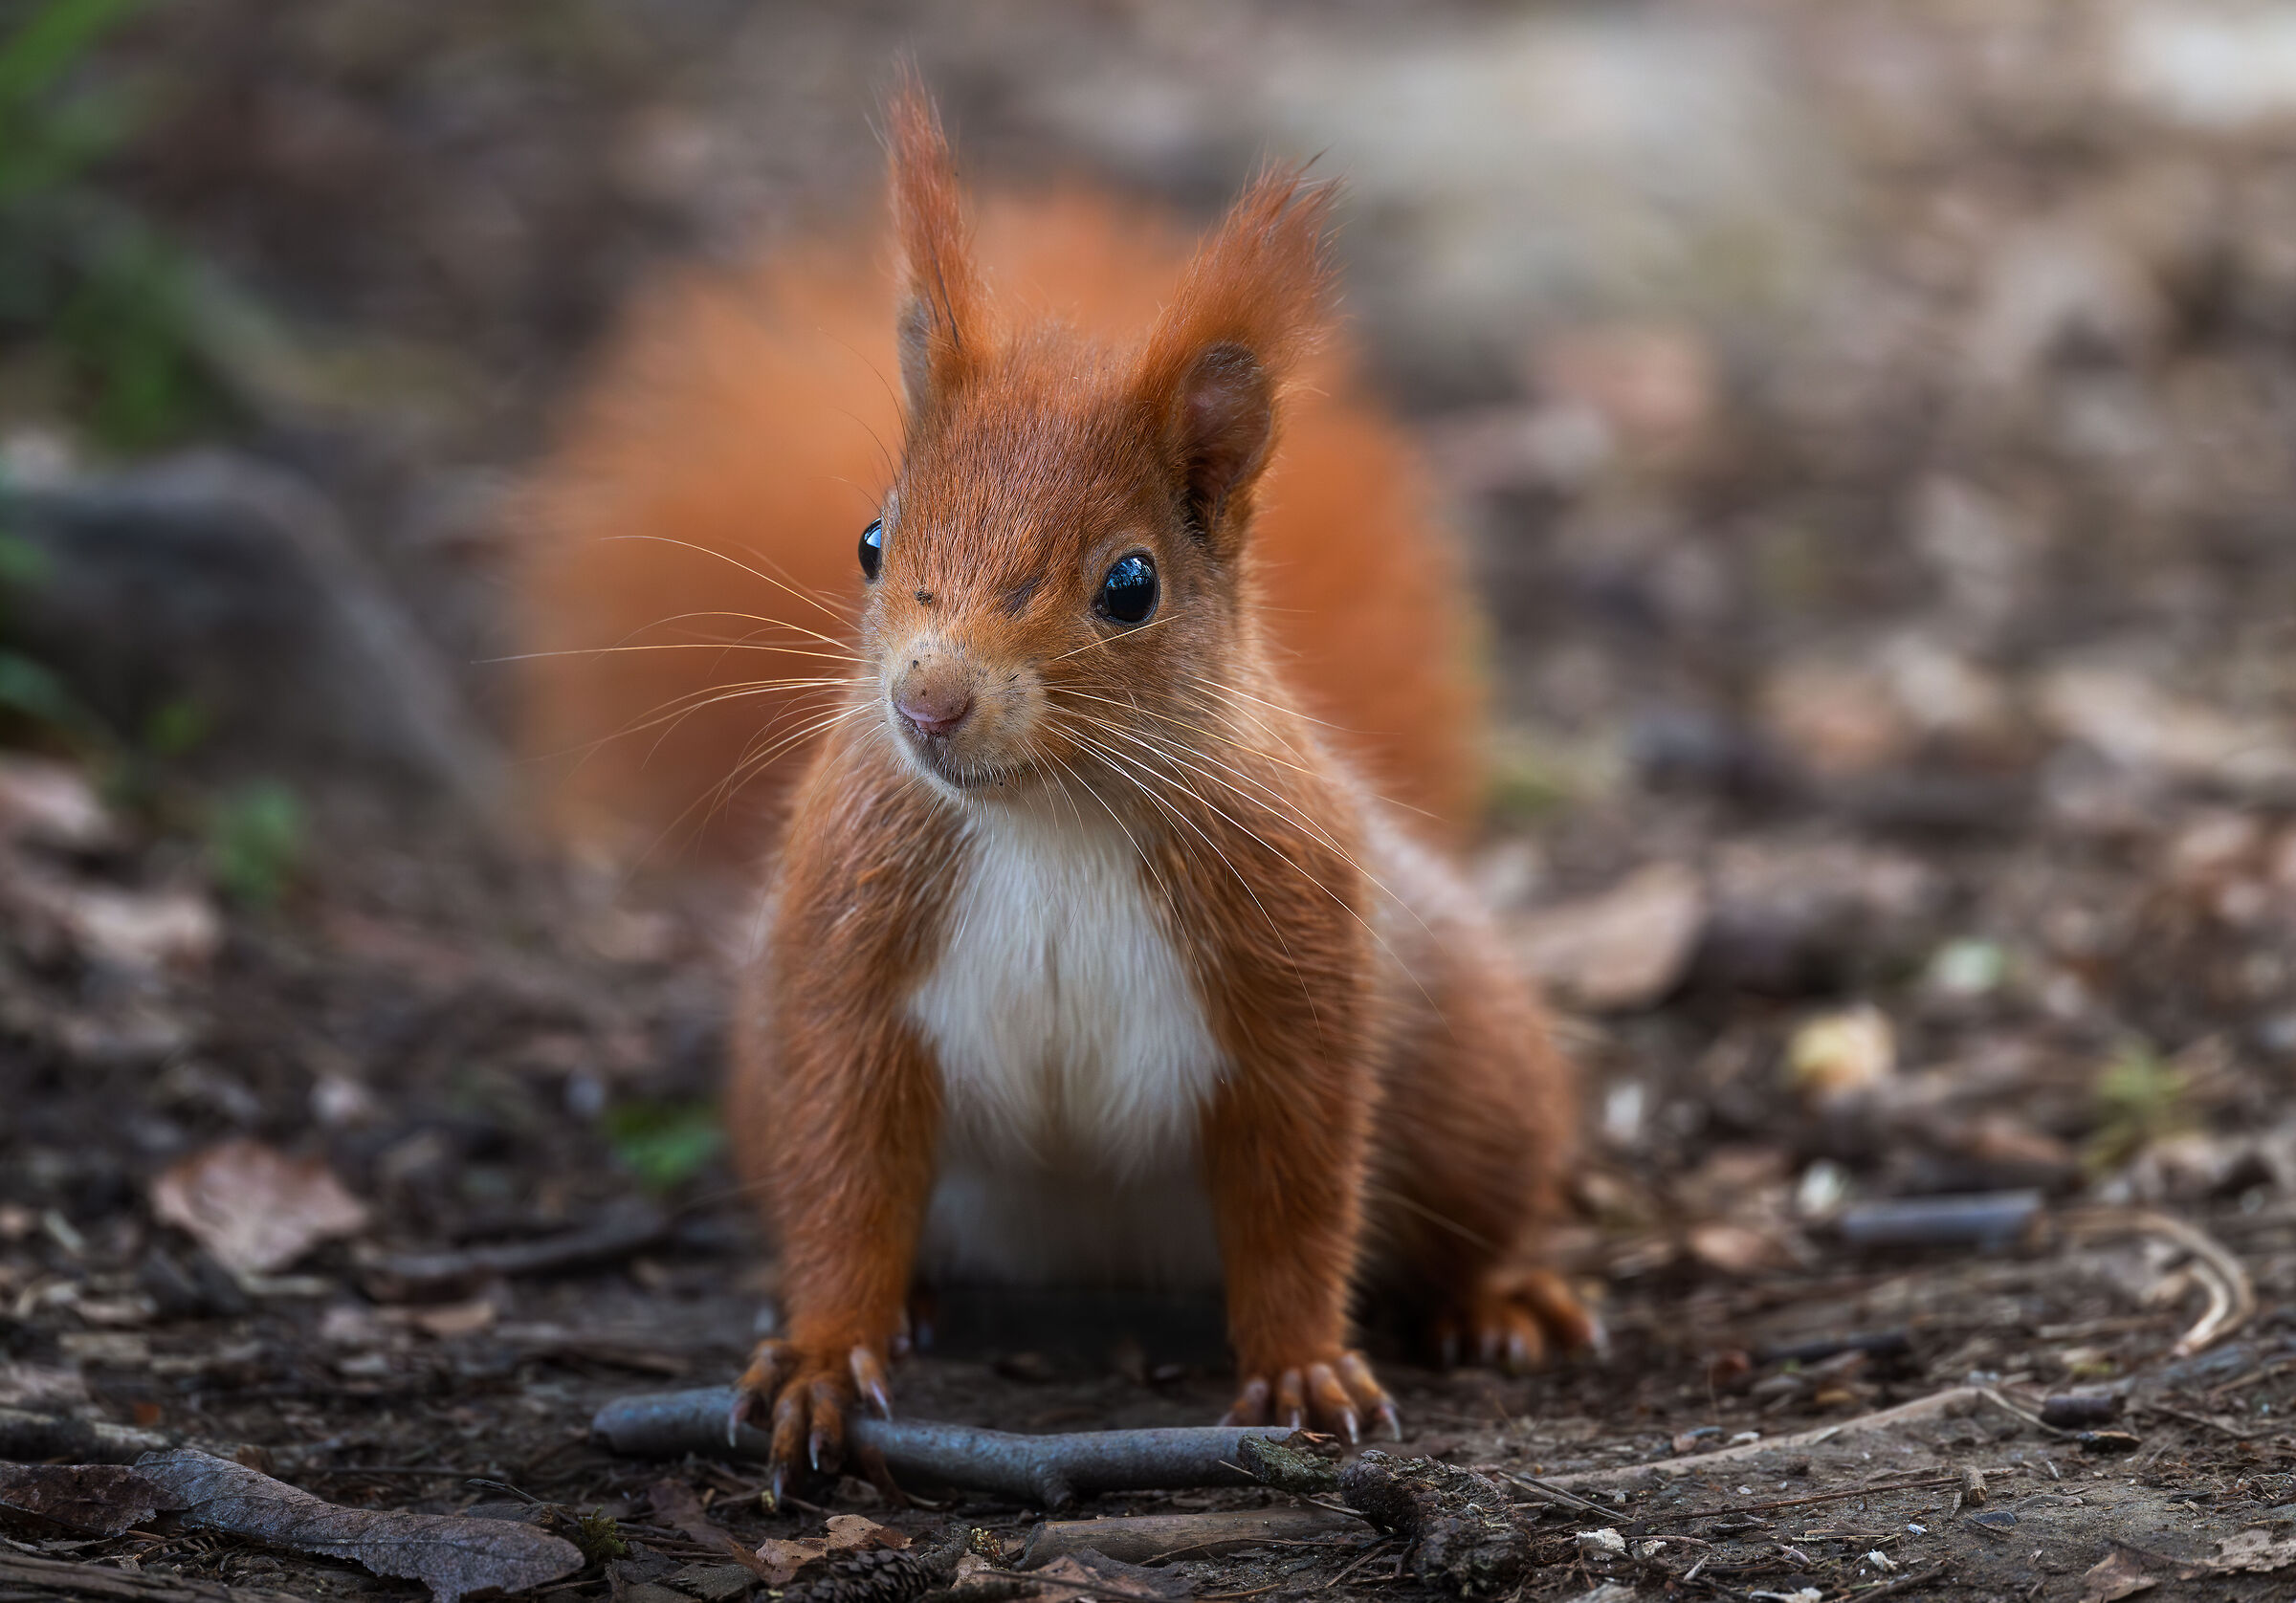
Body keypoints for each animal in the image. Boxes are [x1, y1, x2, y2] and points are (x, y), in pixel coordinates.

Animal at [519, 87, 1592, 1493]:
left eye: (1130, 585)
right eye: (872, 541)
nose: (927, 700)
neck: (1051, 814)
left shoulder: (1294, 965)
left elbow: (1300, 1191)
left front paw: (1306, 1368)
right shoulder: (844, 951)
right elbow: (844, 1166)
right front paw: (823, 1352)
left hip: (1478, 1079)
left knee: (1471, 1208)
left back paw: (1502, 1297)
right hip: (758, 1070)